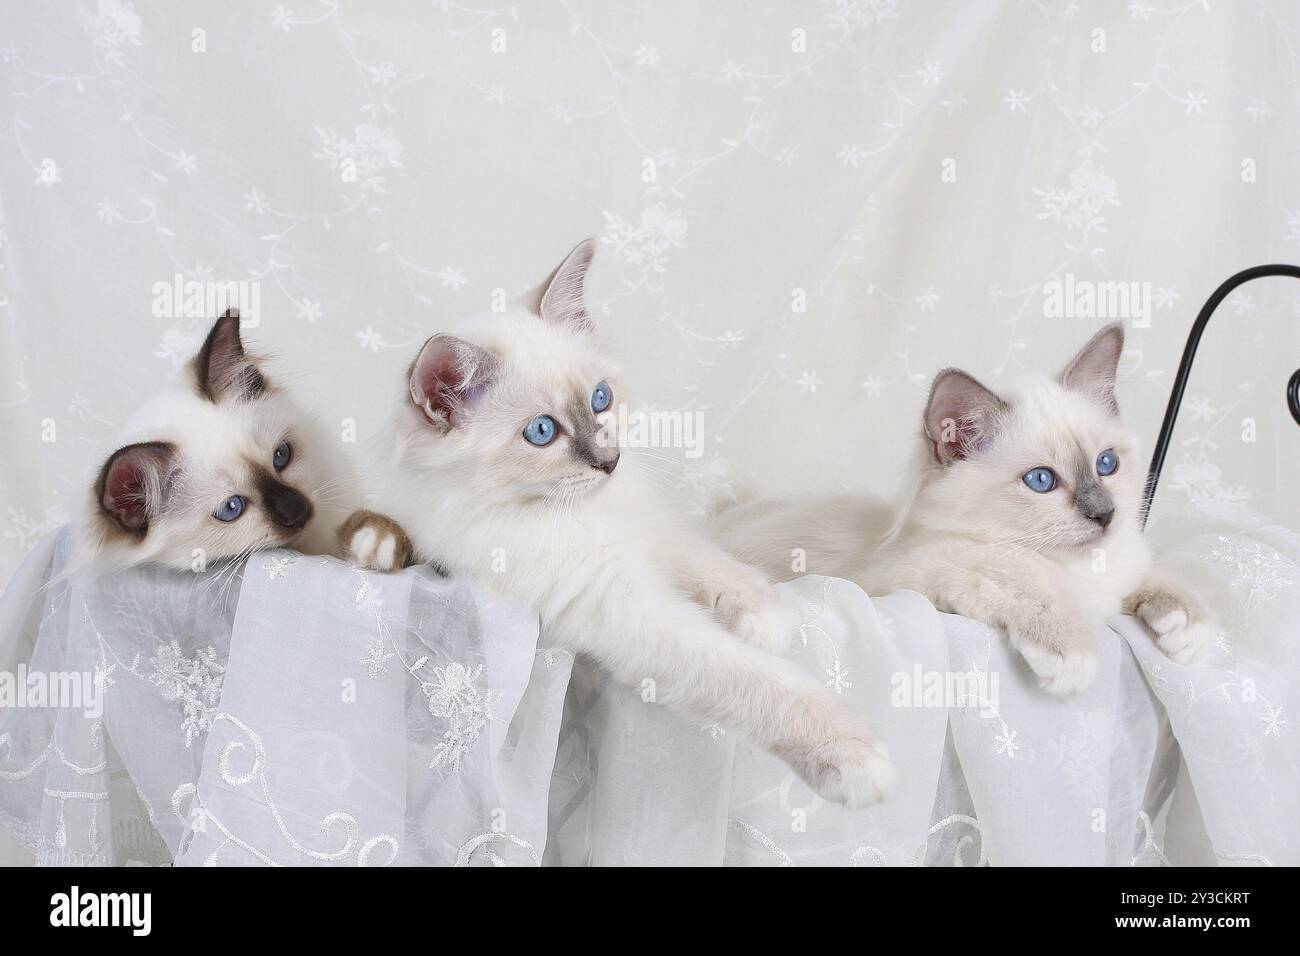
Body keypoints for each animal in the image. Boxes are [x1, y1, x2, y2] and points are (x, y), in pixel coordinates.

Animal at [361, 239, 899, 806]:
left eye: (601, 399)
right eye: (542, 432)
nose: (610, 461)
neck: (585, 515)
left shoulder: (651, 531)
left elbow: (716, 568)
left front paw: (763, 618)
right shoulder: (626, 609)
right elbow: (753, 678)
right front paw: (856, 756)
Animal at [712, 323, 1206, 697]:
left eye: (1107, 464)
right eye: (1041, 481)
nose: (1104, 514)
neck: (1083, 572)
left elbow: (1157, 580)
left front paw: (1184, 628)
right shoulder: (908, 578)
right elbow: (1027, 580)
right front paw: (1072, 656)